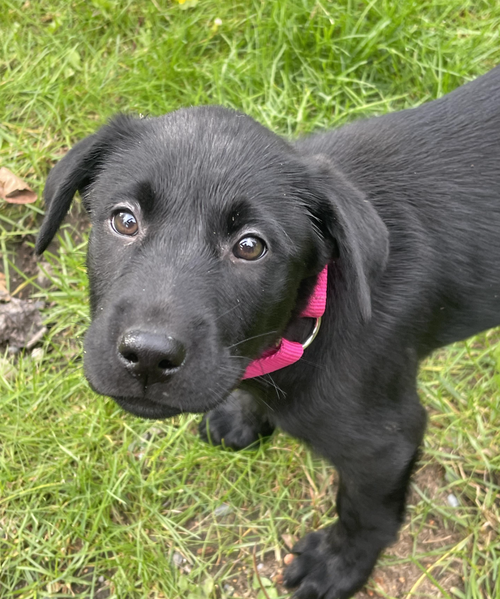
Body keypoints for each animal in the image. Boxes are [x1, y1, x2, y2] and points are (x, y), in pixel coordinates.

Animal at [35, 67, 500, 599]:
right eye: (124, 220)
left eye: (250, 247)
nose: (149, 356)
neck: (314, 311)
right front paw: (243, 416)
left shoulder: (387, 443)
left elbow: (366, 516)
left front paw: (337, 567)